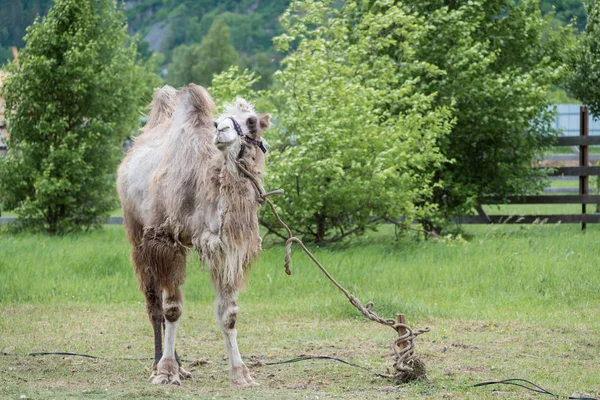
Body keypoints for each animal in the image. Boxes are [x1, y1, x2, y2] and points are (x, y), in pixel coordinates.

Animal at [116, 83, 270, 386]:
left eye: (251, 121)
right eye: (218, 119)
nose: (221, 129)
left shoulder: (227, 249)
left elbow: (229, 315)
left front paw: (241, 373)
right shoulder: (164, 240)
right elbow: (172, 309)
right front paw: (166, 371)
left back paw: (180, 363)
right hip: (136, 230)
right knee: (154, 302)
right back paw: (160, 362)